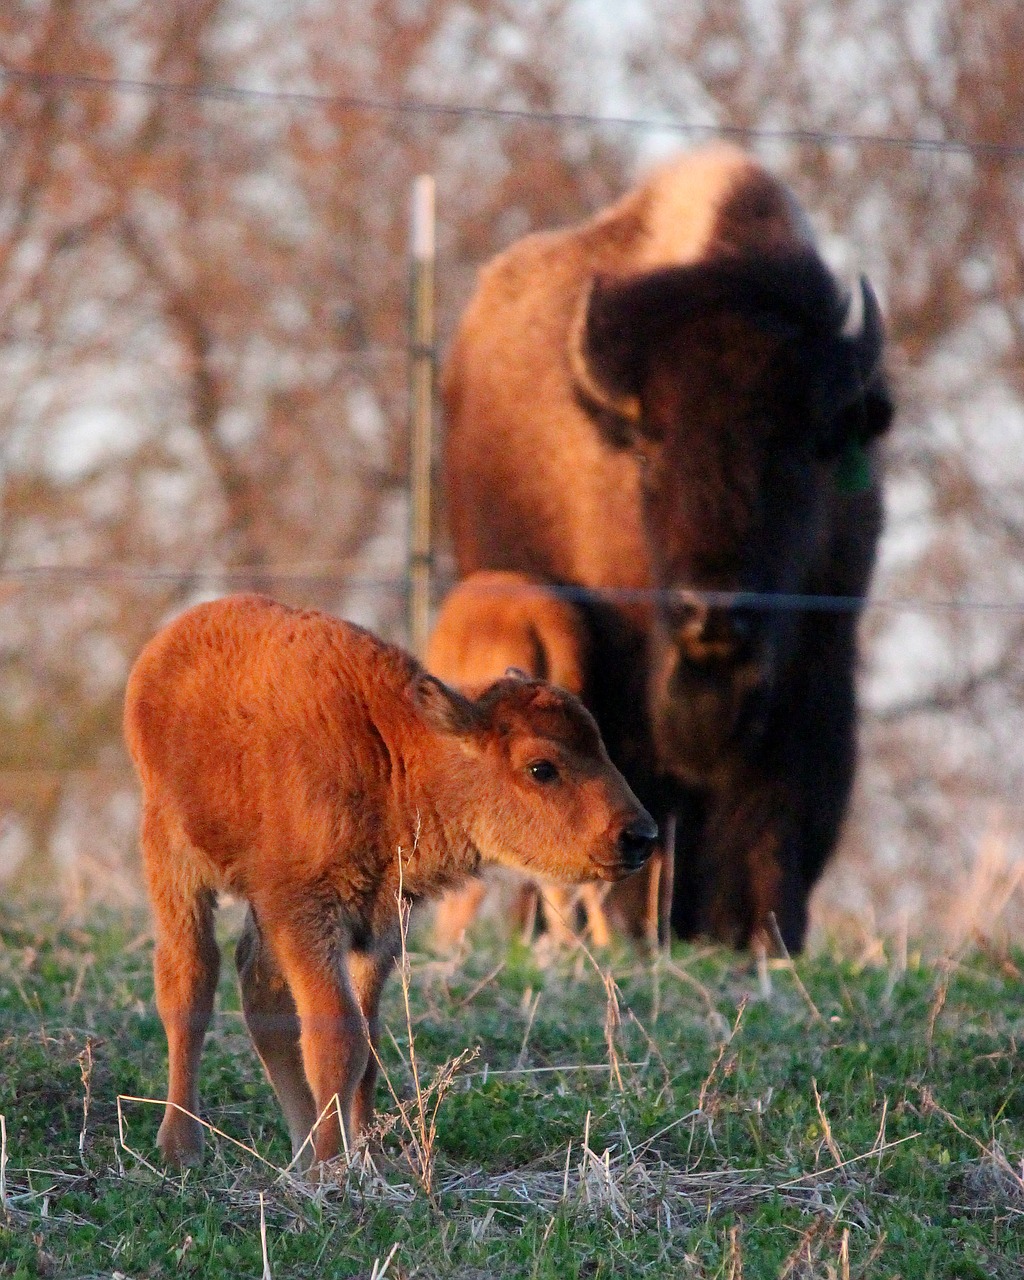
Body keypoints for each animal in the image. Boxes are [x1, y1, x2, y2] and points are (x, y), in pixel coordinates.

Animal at [122, 591, 655, 1172]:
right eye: (541, 768)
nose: (639, 836)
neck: (393, 754)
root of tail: (165, 645)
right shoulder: (307, 914)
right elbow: (338, 1039)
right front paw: (331, 1170)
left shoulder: (379, 922)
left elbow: (368, 1043)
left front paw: (360, 1157)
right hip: (172, 859)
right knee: (189, 980)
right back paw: (182, 1146)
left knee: (258, 989)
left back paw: (297, 1147)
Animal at [442, 149, 890, 952]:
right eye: (650, 453)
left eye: (801, 451)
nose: (712, 613)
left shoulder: (817, 675)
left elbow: (780, 819)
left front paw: (761, 939)